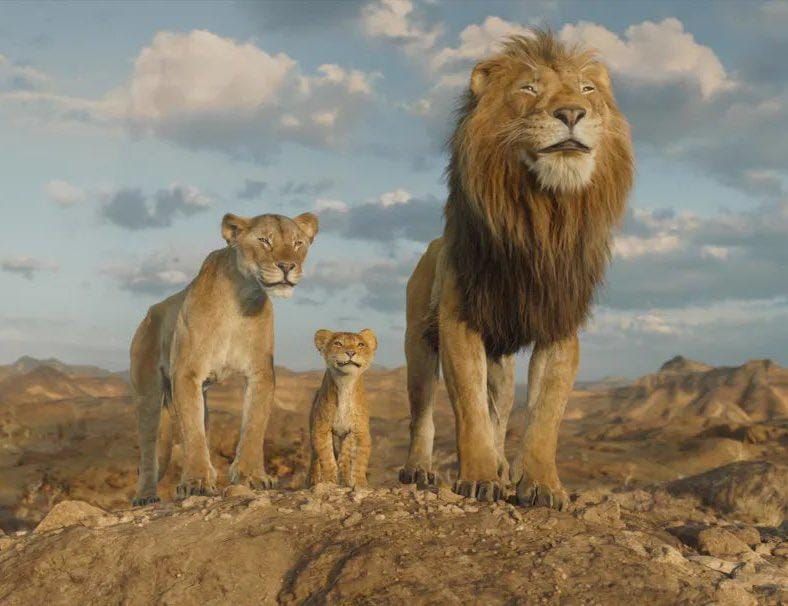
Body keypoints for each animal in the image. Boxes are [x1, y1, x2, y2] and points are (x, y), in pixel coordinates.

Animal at [130, 211, 319, 505]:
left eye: (298, 243)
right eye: (264, 240)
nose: (287, 266)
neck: (241, 299)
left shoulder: (260, 373)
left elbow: (254, 425)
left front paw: (252, 476)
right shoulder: (186, 373)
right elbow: (192, 432)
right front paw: (196, 481)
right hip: (148, 393)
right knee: (150, 448)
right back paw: (146, 496)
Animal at [308, 329, 376, 488]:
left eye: (360, 344)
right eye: (338, 343)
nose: (350, 352)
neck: (345, 383)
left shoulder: (360, 431)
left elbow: (360, 460)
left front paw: (360, 484)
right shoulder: (321, 428)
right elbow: (326, 457)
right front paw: (329, 481)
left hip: (346, 436)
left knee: (345, 458)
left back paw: (345, 480)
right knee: (314, 457)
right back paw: (313, 480)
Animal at [399, 31, 633, 508]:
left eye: (587, 90)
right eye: (528, 88)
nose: (572, 113)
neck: (542, 216)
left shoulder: (559, 324)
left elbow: (545, 415)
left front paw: (541, 485)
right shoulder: (459, 321)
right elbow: (469, 410)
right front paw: (479, 477)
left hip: (501, 365)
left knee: (501, 411)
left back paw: (505, 469)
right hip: (418, 343)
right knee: (423, 413)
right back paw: (420, 470)